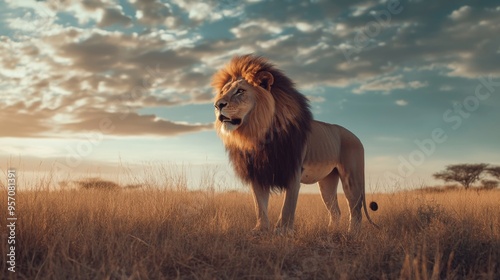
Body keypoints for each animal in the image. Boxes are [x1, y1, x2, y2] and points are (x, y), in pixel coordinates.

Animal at [212, 54, 378, 232]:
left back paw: (352, 233)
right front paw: (260, 229)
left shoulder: (293, 171)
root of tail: (356, 136)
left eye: (240, 91)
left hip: (351, 176)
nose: (217, 105)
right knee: (335, 210)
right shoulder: (258, 173)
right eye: (223, 91)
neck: (257, 134)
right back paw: (331, 231)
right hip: (327, 180)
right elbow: (259, 205)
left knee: (355, 208)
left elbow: (287, 206)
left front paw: (283, 230)